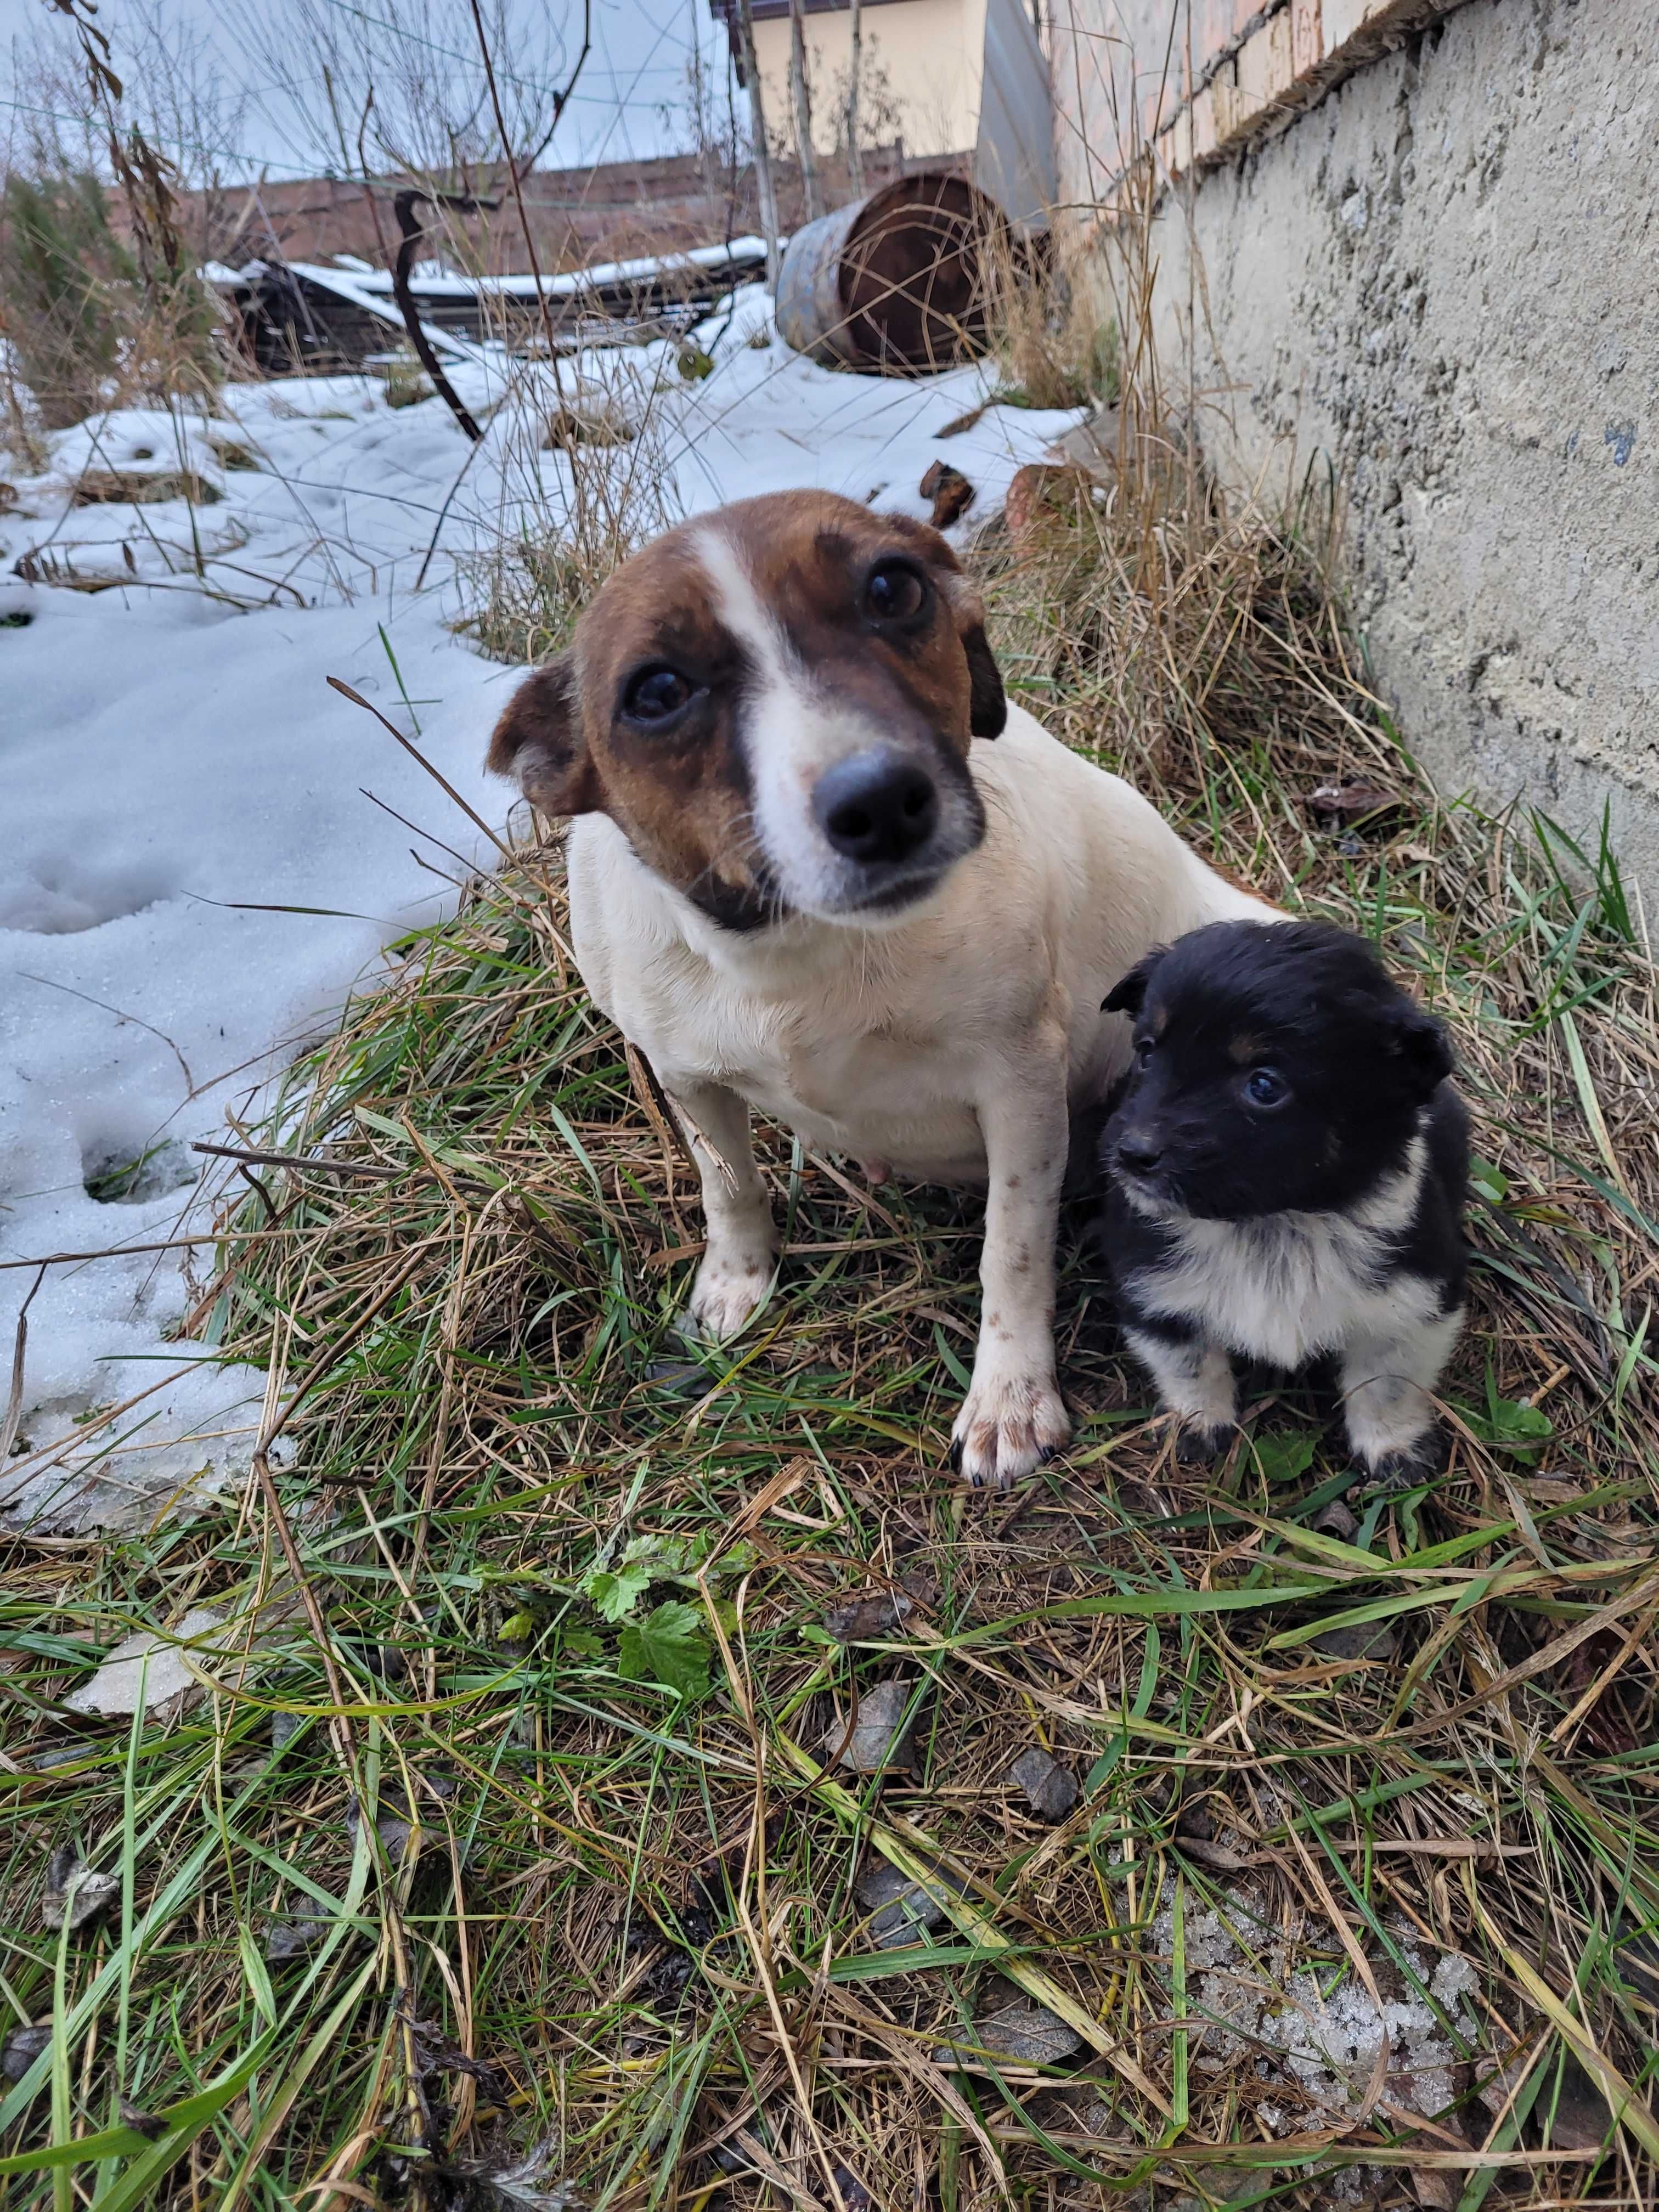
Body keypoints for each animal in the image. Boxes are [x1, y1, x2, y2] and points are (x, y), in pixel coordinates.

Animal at [487, 489, 1265, 1486]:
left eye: (892, 587)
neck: (797, 956)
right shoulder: (684, 1073)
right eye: (655, 691)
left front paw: (1009, 1395)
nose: (882, 801)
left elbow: (1011, 1251)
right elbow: (727, 1186)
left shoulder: (1019, 1085)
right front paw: (735, 1284)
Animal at [1106, 924, 1469, 1477]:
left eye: (1264, 1085)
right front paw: (1200, 1422)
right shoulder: (1153, 1292)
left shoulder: (1417, 1302)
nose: (1132, 1154)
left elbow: (1387, 1382)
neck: (1273, 1224)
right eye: (1146, 1053)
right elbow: (1190, 1364)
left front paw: (1393, 1447)